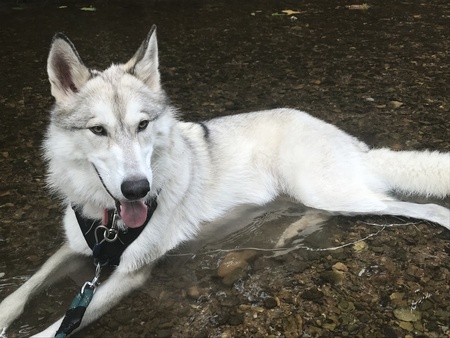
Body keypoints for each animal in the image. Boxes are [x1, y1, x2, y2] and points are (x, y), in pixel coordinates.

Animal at [0, 25, 450, 336]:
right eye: (98, 131)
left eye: (143, 125)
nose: (137, 189)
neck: (109, 221)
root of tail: (356, 144)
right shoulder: (77, 249)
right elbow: (24, 289)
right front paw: (5, 314)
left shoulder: (129, 274)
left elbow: (55, 327)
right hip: (317, 194)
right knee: (323, 214)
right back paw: (290, 234)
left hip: (331, 191)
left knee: (418, 206)